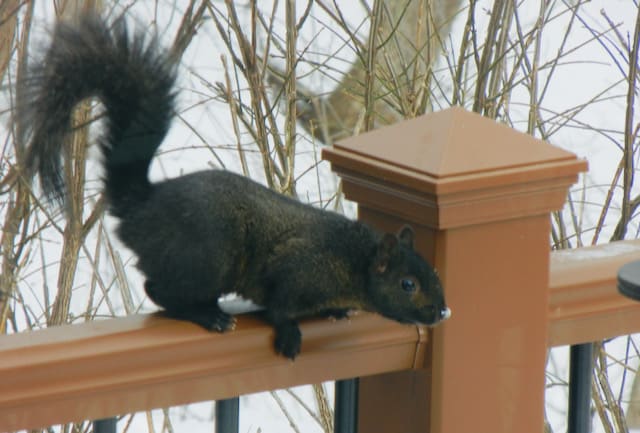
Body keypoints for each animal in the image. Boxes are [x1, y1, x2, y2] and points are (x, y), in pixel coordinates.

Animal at [17, 12, 452, 358]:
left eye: (433, 273)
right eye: (408, 284)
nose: (442, 312)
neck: (350, 259)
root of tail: (142, 206)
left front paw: (335, 310)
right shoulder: (296, 267)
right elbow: (280, 307)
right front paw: (290, 335)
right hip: (208, 256)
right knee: (157, 289)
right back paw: (208, 316)